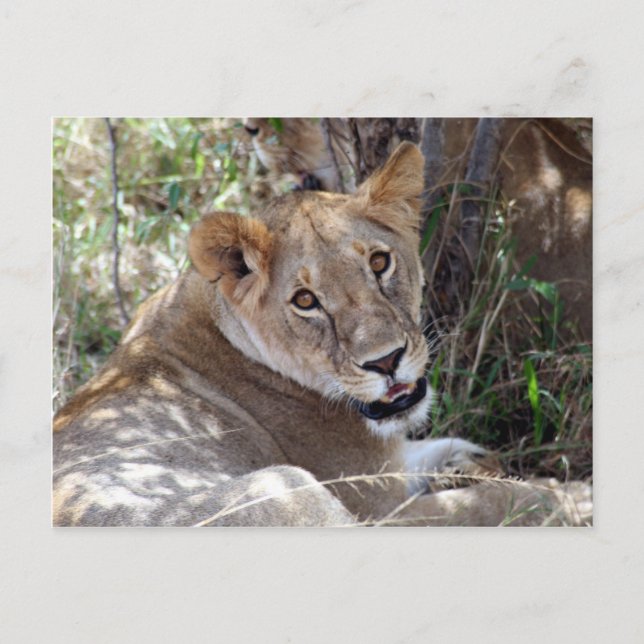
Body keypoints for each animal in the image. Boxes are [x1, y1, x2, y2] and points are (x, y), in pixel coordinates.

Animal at [53, 142, 591, 527]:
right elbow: (500, 502)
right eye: (306, 301)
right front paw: (572, 499)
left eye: (380, 262)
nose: (386, 361)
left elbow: (428, 450)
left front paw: (469, 457)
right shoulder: (379, 509)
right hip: (283, 490)